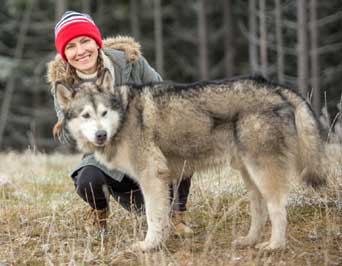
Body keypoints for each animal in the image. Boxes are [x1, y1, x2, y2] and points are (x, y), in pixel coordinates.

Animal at [54, 69, 328, 251]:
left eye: (103, 113)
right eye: (86, 115)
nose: (101, 134)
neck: (124, 116)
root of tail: (276, 87)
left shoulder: (152, 176)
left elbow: (154, 216)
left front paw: (149, 245)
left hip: (262, 172)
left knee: (278, 208)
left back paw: (274, 246)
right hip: (249, 175)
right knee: (259, 210)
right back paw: (249, 240)